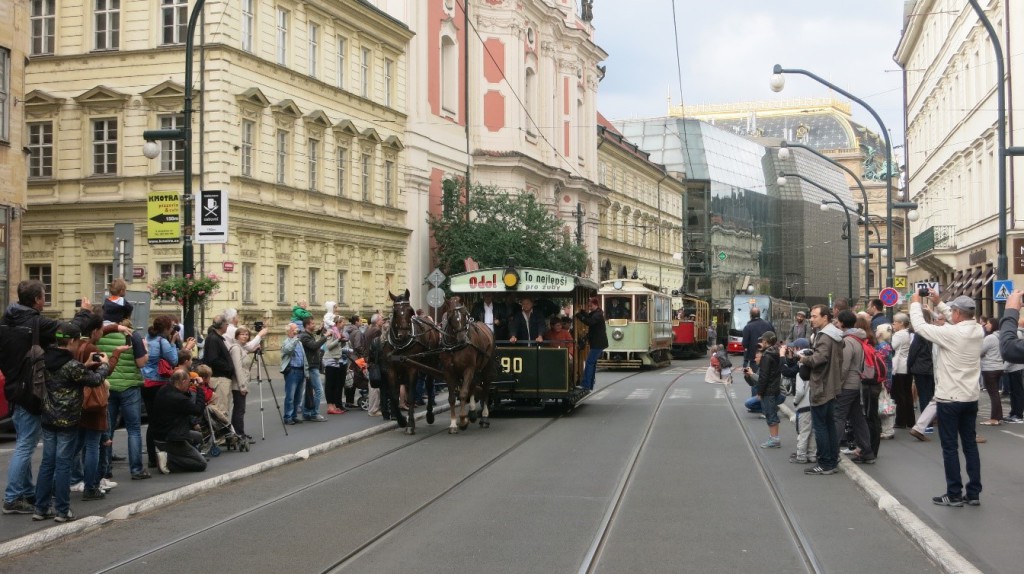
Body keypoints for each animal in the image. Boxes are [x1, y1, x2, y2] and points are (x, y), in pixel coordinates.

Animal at [378, 290, 438, 433]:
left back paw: (429, 414)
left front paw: (410, 424)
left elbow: (410, 396)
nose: (404, 334)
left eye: (410, 311)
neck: (400, 346)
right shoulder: (390, 369)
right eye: (394, 312)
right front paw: (401, 420)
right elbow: (394, 396)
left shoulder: (412, 369)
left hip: (431, 364)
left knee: (429, 386)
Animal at [438, 294, 493, 429]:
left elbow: (463, 393)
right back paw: (472, 412)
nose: (463, 339)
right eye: (450, 316)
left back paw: (484, 417)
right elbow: (452, 397)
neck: (454, 347)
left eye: (465, 315)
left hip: (486, 368)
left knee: (485, 389)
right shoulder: (448, 371)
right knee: (473, 385)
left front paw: (463, 420)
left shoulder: (468, 368)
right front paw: (453, 424)